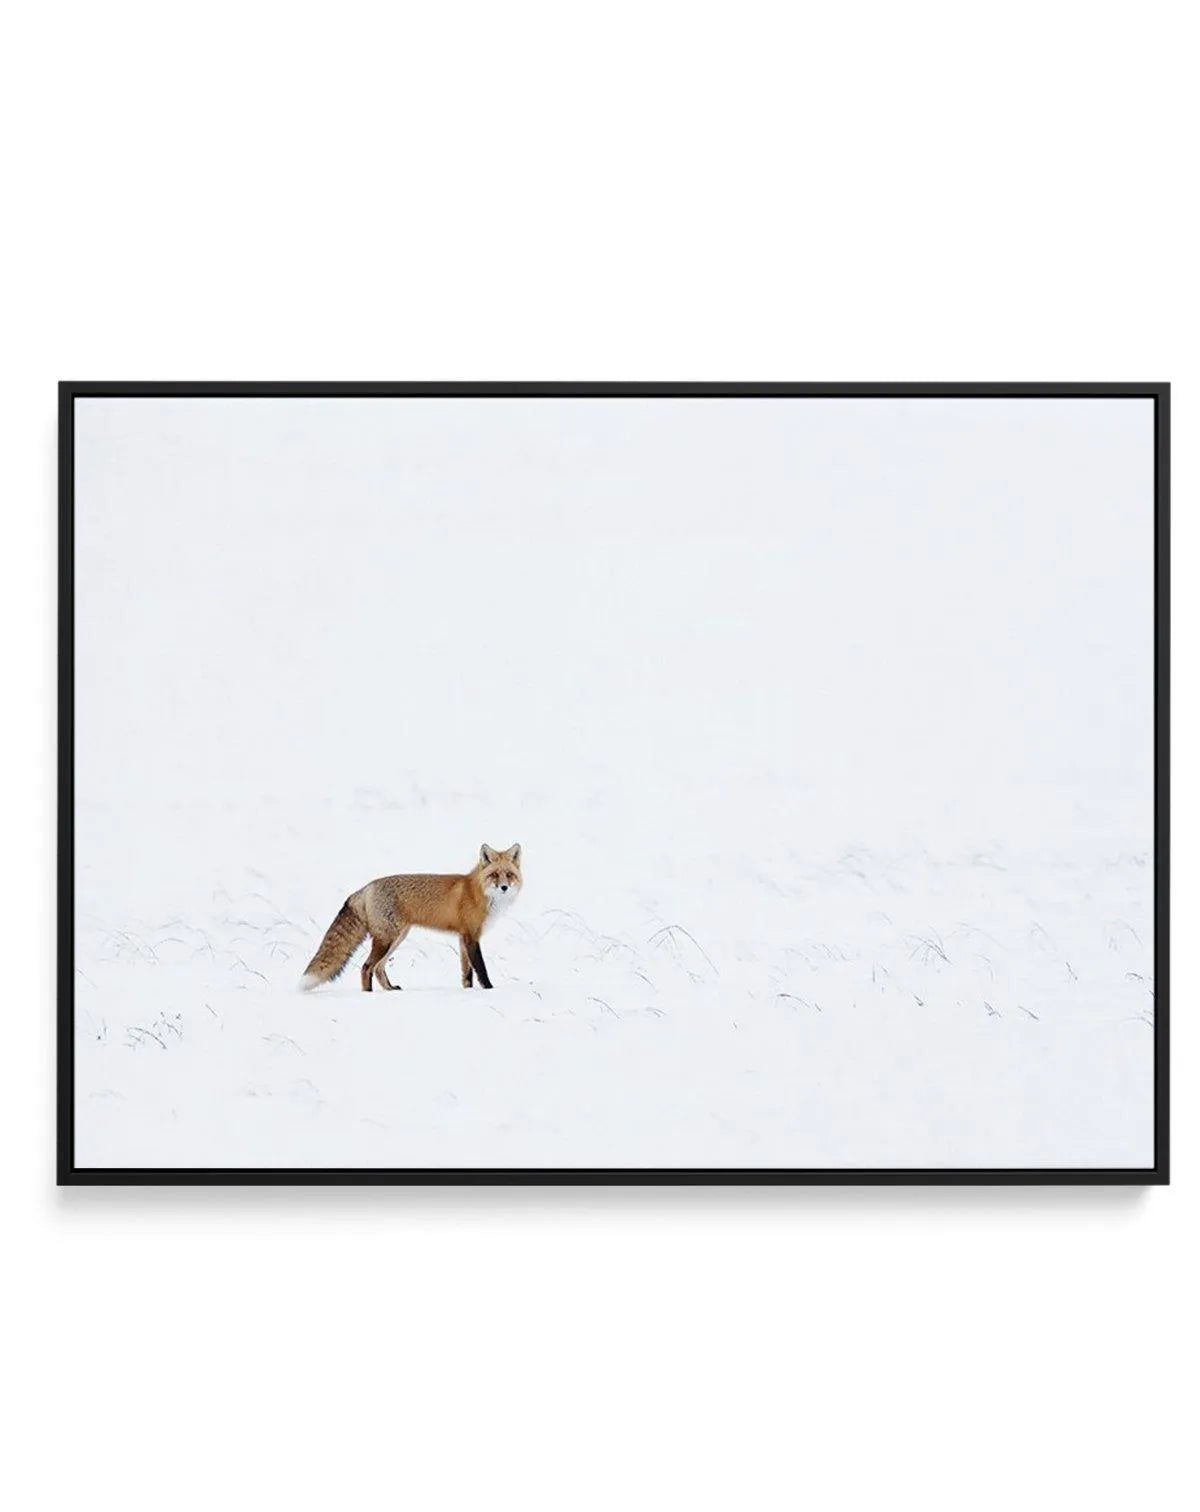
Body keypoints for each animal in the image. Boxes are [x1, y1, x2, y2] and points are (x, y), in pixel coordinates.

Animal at [301, 843, 522, 992]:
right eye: (495, 875)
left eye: (509, 875)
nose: (504, 887)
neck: (478, 892)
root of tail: (366, 887)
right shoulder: (471, 936)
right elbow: (481, 969)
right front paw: (489, 990)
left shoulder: (463, 938)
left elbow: (466, 973)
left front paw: (468, 991)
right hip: (387, 939)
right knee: (366, 967)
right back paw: (369, 994)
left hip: (397, 938)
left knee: (378, 968)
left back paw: (390, 989)